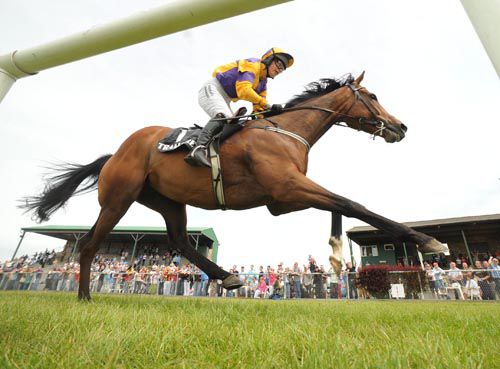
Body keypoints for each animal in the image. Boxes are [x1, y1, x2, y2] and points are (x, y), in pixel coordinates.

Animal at [22, 71, 446, 300]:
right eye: (373, 95)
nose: (401, 126)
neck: (286, 130)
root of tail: (114, 153)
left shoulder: (281, 198)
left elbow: (338, 204)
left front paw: (337, 253)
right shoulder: (289, 186)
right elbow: (352, 202)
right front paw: (428, 241)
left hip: (168, 200)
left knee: (179, 241)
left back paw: (226, 275)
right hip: (118, 199)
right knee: (89, 245)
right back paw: (84, 296)